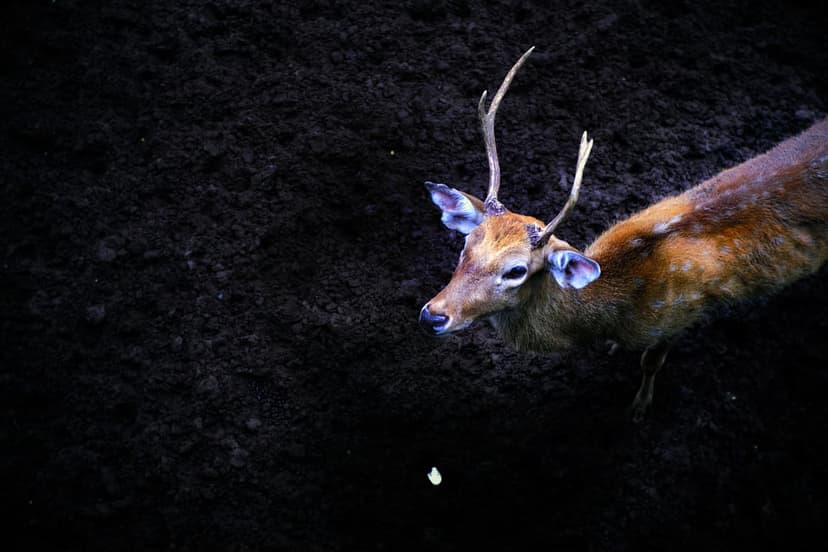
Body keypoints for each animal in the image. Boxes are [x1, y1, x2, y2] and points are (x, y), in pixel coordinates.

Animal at [418, 46, 828, 420]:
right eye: (465, 246)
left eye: (516, 270)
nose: (433, 315)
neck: (616, 308)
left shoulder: (676, 316)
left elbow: (651, 363)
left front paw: (639, 408)